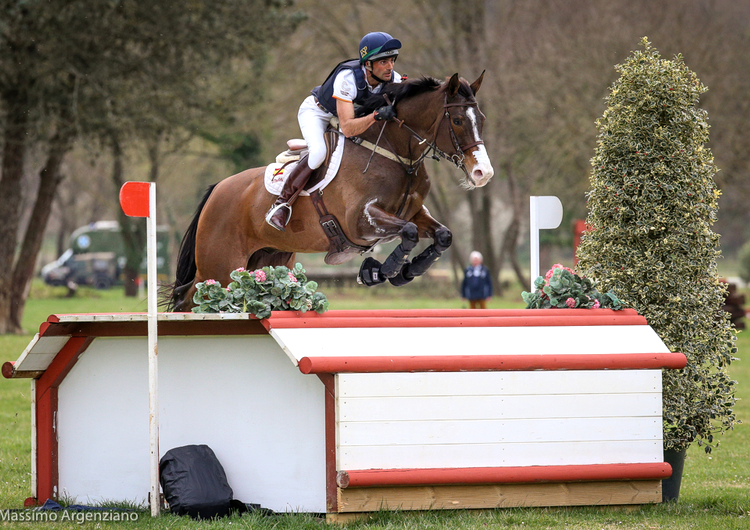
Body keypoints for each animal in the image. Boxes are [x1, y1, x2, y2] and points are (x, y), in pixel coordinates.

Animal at [166, 70, 494, 310]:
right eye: (457, 120)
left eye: (481, 120)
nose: (483, 173)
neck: (395, 154)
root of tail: (217, 189)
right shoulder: (360, 222)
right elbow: (409, 232)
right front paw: (382, 270)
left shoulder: (412, 213)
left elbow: (442, 236)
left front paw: (402, 272)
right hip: (218, 269)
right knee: (192, 299)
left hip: (268, 259)